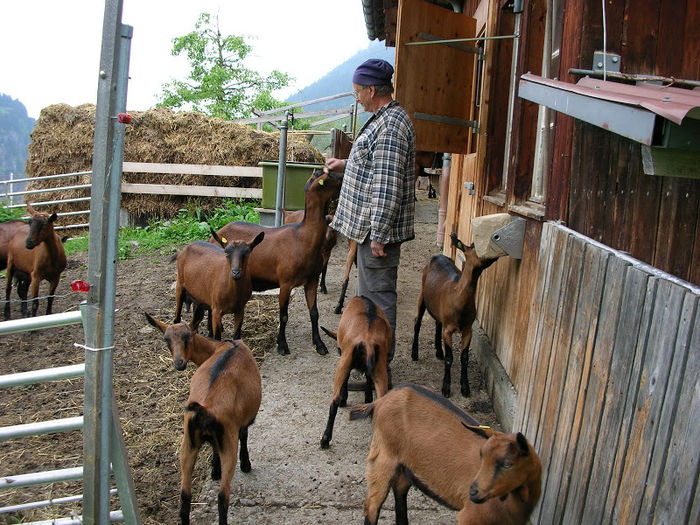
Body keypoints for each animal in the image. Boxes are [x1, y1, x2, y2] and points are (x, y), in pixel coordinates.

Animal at [144, 314, 262, 520]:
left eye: (187, 337)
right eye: (166, 340)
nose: (179, 363)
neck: (219, 347)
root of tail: (203, 409)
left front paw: (214, 471)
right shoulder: (242, 422)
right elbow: (244, 436)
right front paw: (245, 465)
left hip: (187, 445)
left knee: (185, 496)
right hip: (228, 443)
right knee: (223, 497)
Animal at [215, 170, 344, 354]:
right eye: (329, 176)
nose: (345, 172)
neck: (303, 238)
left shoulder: (312, 280)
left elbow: (314, 313)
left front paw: (319, 344)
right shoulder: (285, 283)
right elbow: (283, 316)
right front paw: (282, 345)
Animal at [318, 296, 392, 448]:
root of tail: (368, 340)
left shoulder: (344, 357)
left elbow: (345, 382)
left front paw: (344, 399)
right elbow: (368, 378)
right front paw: (368, 398)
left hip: (344, 362)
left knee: (334, 400)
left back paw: (325, 440)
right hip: (380, 368)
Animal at [350, 380, 540, 524]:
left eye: (508, 464)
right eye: (482, 455)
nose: (473, 492)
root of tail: (380, 401)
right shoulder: (470, 517)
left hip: (407, 465)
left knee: (400, 489)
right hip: (384, 456)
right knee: (372, 504)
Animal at [410, 233, 498, 398]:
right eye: (475, 246)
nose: (494, 255)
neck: (458, 298)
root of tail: (436, 256)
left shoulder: (468, 329)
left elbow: (464, 358)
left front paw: (465, 387)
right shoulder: (448, 329)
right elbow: (450, 359)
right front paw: (446, 388)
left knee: (438, 323)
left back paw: (439, 351)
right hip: (422, 294)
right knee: (417, 322)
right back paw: (414, 353)